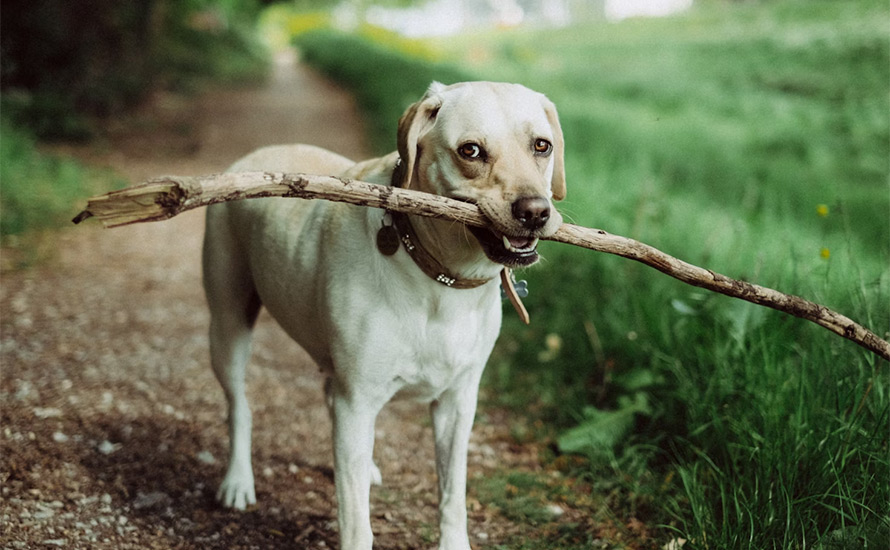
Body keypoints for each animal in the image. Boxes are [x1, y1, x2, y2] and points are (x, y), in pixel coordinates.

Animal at [201, 82, 560, 550]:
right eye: (471, 150)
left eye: (542, 145)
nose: (535, 212)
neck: (439, 279)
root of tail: (253, 156)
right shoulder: (357, 400)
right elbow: (356, 521)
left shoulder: (457, 402)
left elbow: (452, 495)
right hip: (228, 325)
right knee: (239, 406)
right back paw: (238, 481)